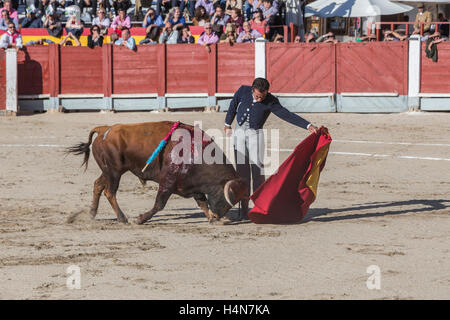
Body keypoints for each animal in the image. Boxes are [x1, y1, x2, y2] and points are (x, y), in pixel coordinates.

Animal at [67, 121, 248, 224]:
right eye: (227, 198)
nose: (219, 217)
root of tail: (104, 129)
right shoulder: (168, 182)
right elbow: (159, 204)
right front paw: (140, 219)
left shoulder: (192, 185)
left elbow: (202, 201)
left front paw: (210, 217)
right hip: (114, 172)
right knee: (110, 192)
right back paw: (122, 218)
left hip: (109, 171)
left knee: (98, 185)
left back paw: (91, 214)